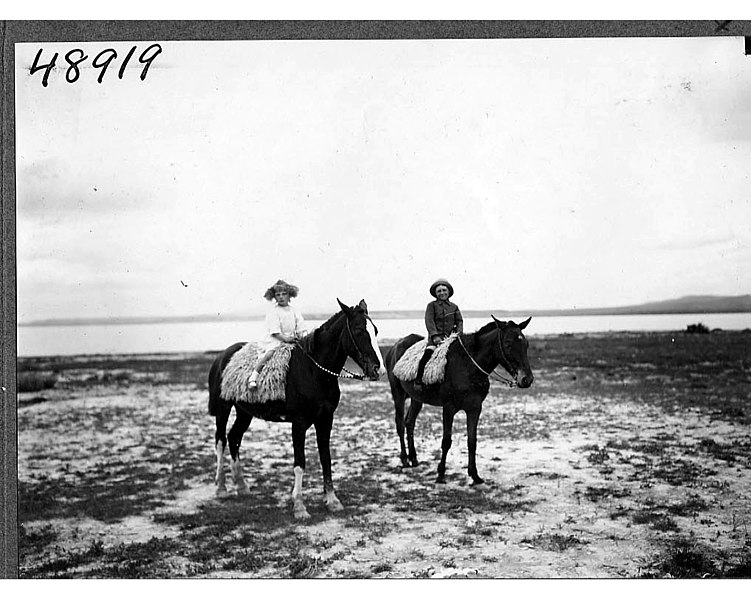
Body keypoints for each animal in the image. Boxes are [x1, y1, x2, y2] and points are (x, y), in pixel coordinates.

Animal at [209, 300, 384, 520]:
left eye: (375, 330)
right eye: (360, 331)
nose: (378, 369)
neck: (313, 370)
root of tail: (222, 356)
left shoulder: (325, 419)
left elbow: (326, 458)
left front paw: (332, 500)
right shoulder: (299, 424)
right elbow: (300, 463)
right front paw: (299, 506)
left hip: (244, 412)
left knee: (234, 438)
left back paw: (242, 486)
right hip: (223, 408)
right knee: (221, 441)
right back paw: (221, 488)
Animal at [388, 316, 536, 486]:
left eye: (526, 344)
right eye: (508, 343)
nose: (527, 379)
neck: (468, 365)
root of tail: (396, 346)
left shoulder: (475, 408)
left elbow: (472, 441)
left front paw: (475, 475)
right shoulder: (448, 408)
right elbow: (446, 441)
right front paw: (440, 474)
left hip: (416, 399)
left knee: (409, 423)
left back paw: (413, 458)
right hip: (398, 394)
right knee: (400, 424)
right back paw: (405, 459)